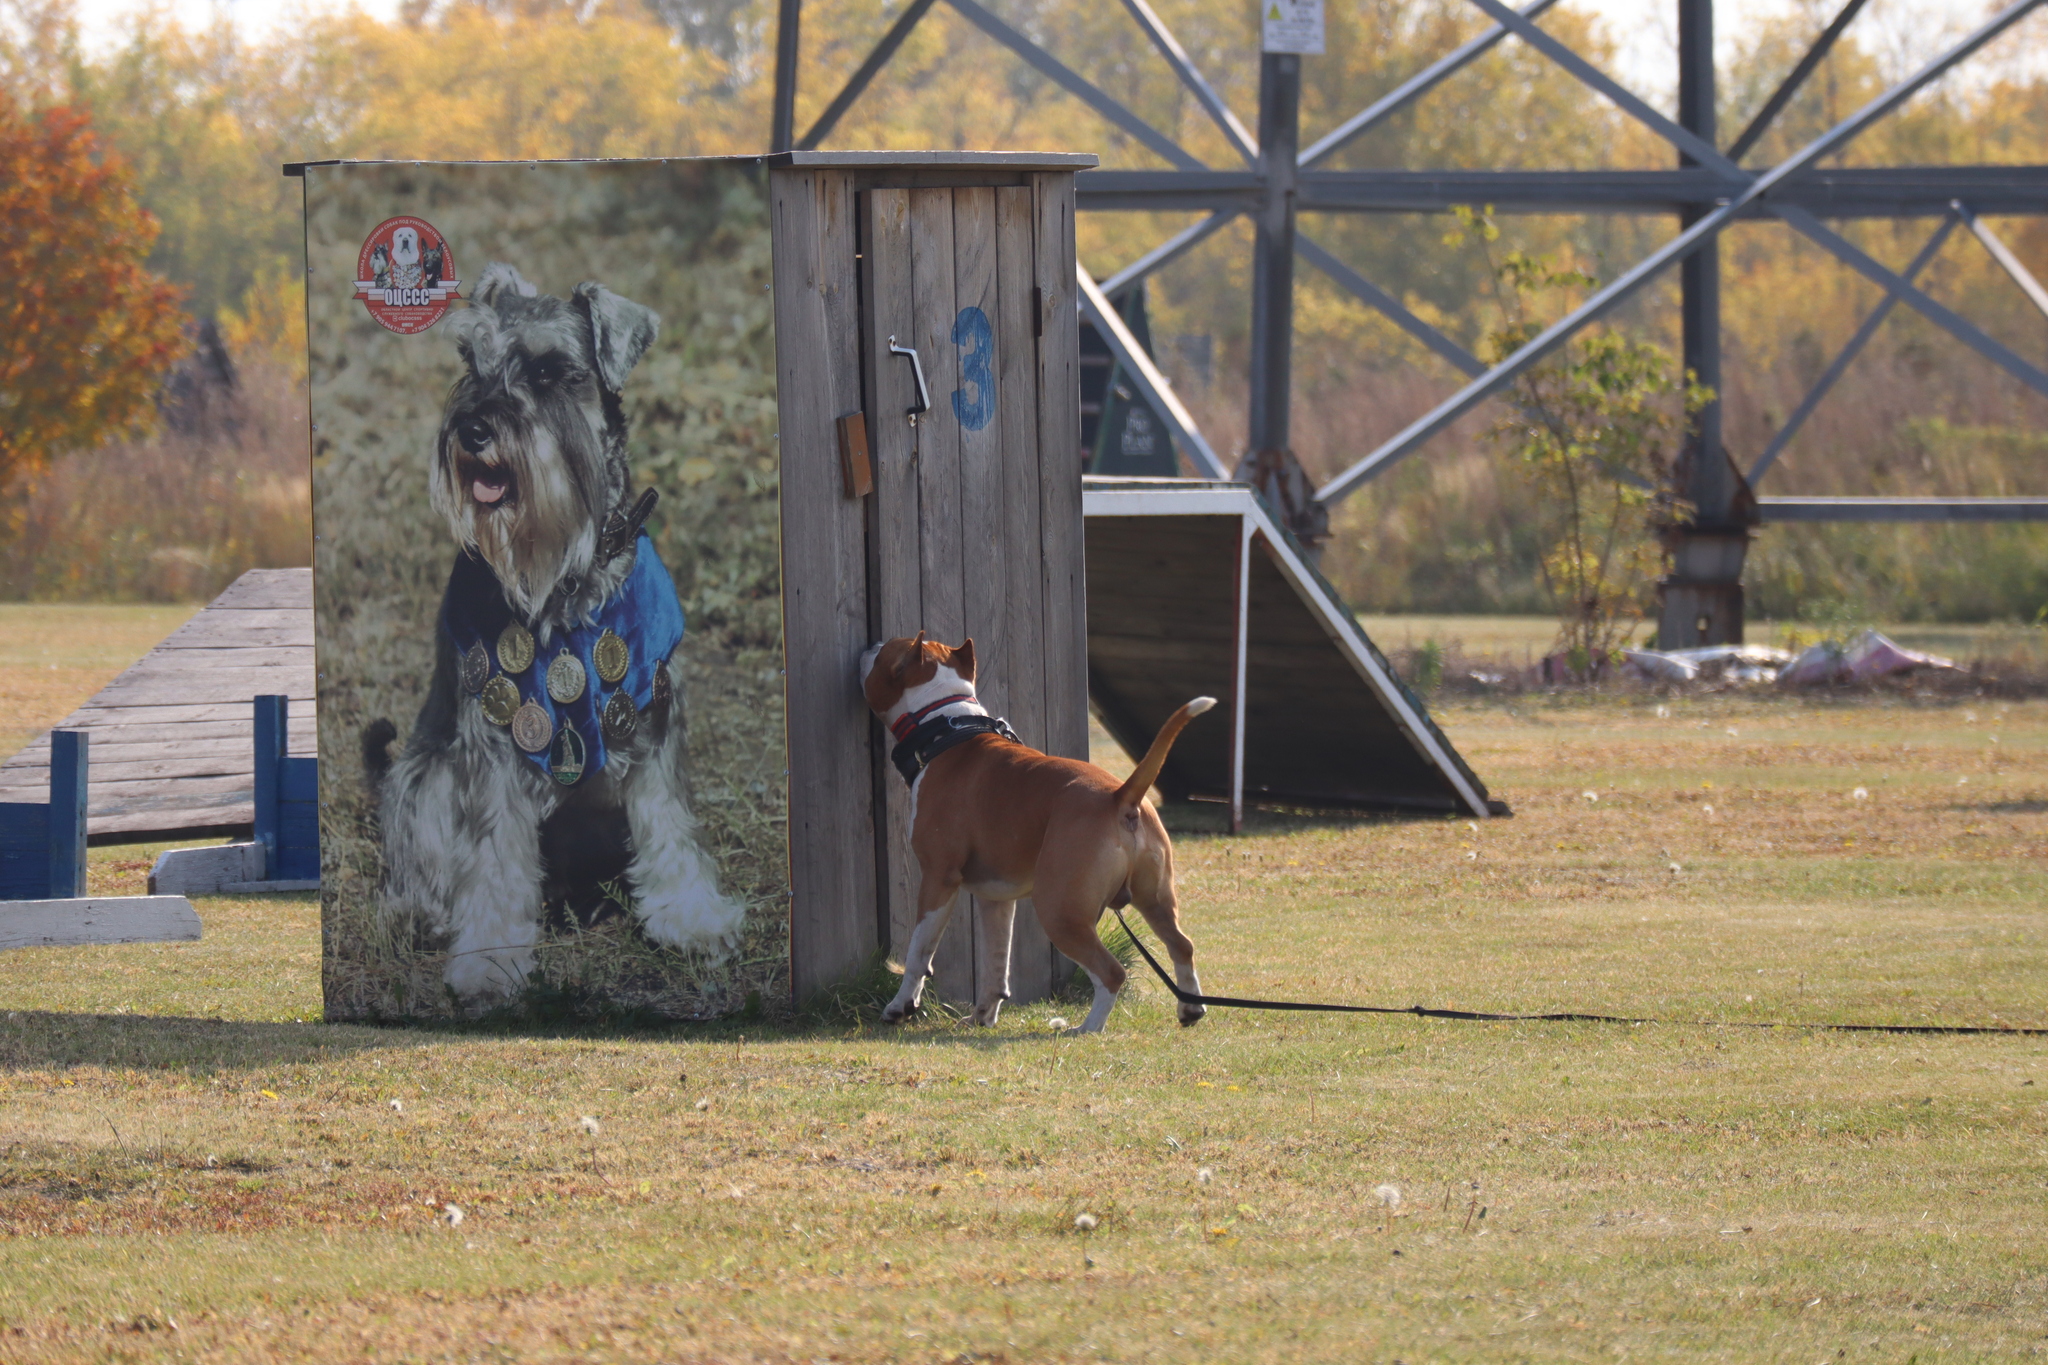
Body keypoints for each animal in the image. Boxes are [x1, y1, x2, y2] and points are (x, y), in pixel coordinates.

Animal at [856, 634, 1204, 1031]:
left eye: (883, 654)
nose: (871, 644)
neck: (946, 727)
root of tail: (1120, 795)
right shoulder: (995, 899)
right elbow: (995, 963)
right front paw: (983, 1016)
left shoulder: (938, 879)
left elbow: (919, 951)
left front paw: (901, 1006)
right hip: (1155, 900)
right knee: (1182, 946)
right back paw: (1190, 1009)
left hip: (1058, 910)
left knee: (1112, 971)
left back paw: (1087, 1029)